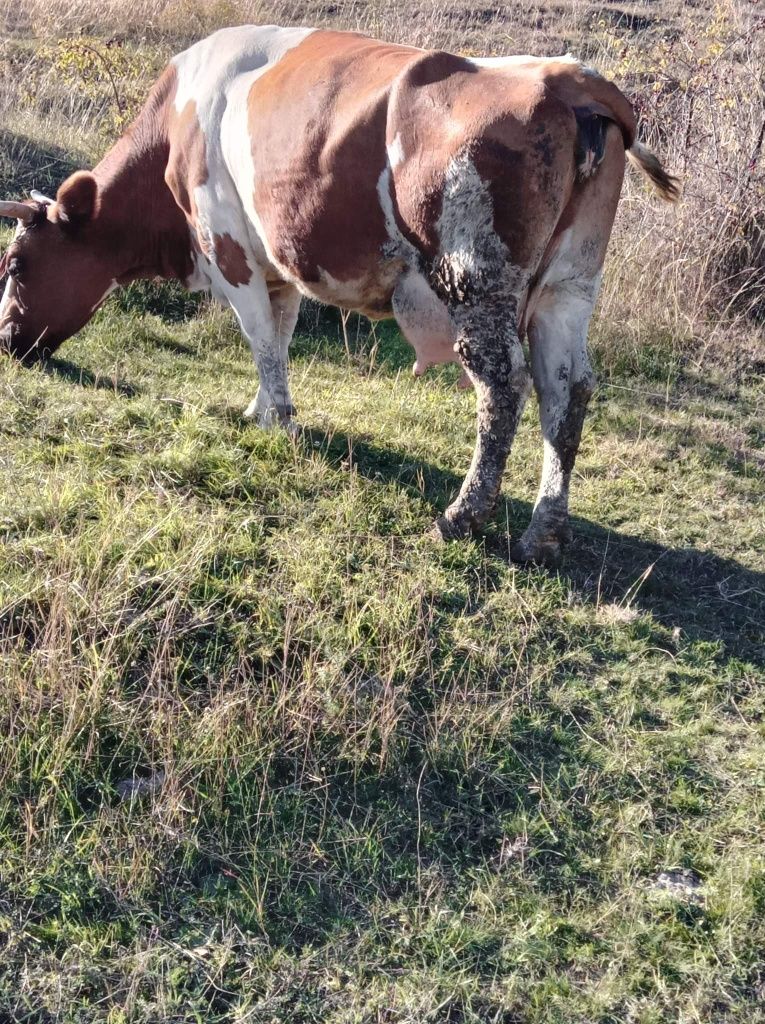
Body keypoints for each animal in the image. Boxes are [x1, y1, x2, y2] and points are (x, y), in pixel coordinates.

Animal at [0, 25, 680, 561]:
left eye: (15, 261)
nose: (7, 338)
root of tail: (570, 77)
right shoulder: (278, 263)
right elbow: (278, 337)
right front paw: (261, 409)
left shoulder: (228, 247)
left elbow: (258, 337)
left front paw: (278, 423)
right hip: (570, 286)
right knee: (567, 388)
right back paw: (544, 532)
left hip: (476, 276)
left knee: (504, 382)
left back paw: (461, 516)